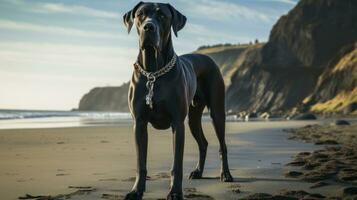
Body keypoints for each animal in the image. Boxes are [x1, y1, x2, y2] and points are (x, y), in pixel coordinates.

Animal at [123, 1, 234, 200]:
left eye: (162, 16)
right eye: (140, 14)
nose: (148, 27)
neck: (153, 73)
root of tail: (208, 57)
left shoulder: (177, 123)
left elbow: (177, 164)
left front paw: (175, 192)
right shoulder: (139, 123)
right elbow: (140, 163)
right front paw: (136, 191)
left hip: (217, 112)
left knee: (222, 145)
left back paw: (226, 174)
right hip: (193, 117)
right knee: (203, 143)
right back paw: (198, 172)